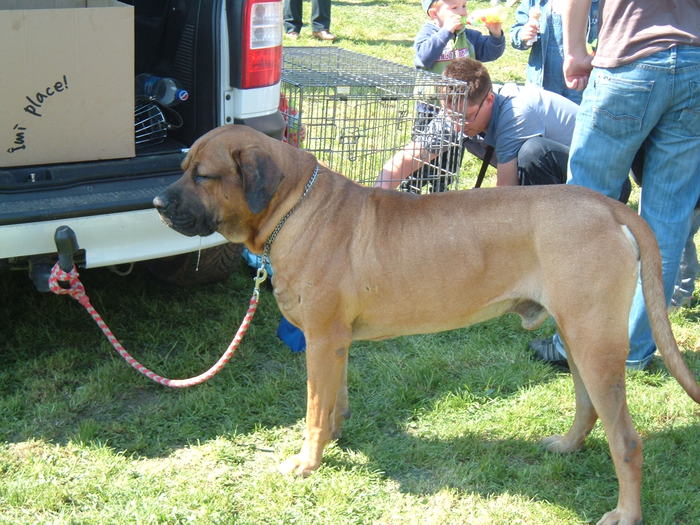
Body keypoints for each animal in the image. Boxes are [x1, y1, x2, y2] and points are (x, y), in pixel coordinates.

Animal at [154, 125, 700, 520]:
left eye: (203, 176)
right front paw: (335, 437)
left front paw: (307, 462)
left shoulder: (321, 340)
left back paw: (626, 513)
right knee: (588, 406)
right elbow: (333, 401)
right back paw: (566, 445)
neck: (295, 206)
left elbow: (312, 411)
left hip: (595, 341)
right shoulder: (335, 343)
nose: (157, 203)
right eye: (182, 168)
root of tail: (607, 205)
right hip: (578, 334)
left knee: (626, 442)